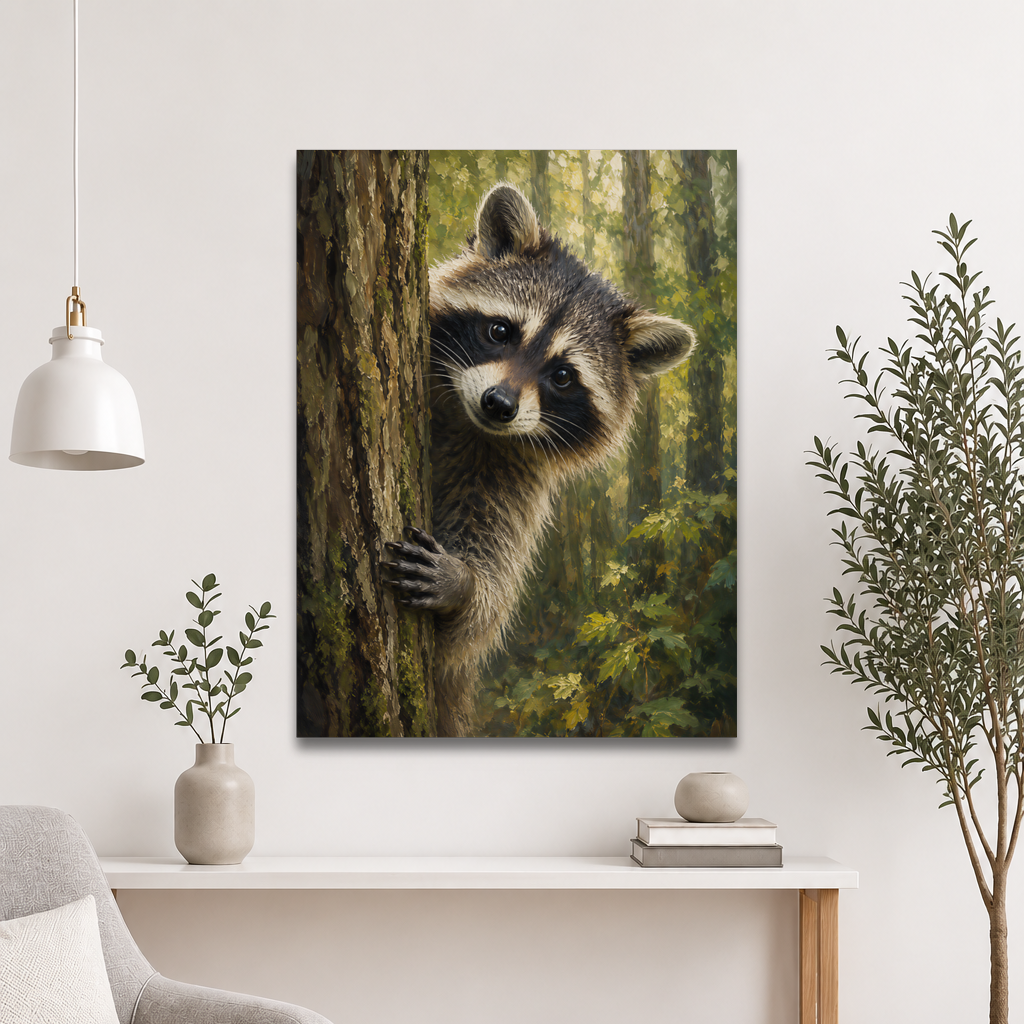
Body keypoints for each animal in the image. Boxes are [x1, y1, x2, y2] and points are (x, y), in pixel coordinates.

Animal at [384, 182, 696, 737]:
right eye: (500, 331)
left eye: (564, 376)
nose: (499, 404)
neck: (470, 425)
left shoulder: (513, 481)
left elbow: (475, 622)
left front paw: (465, 586)